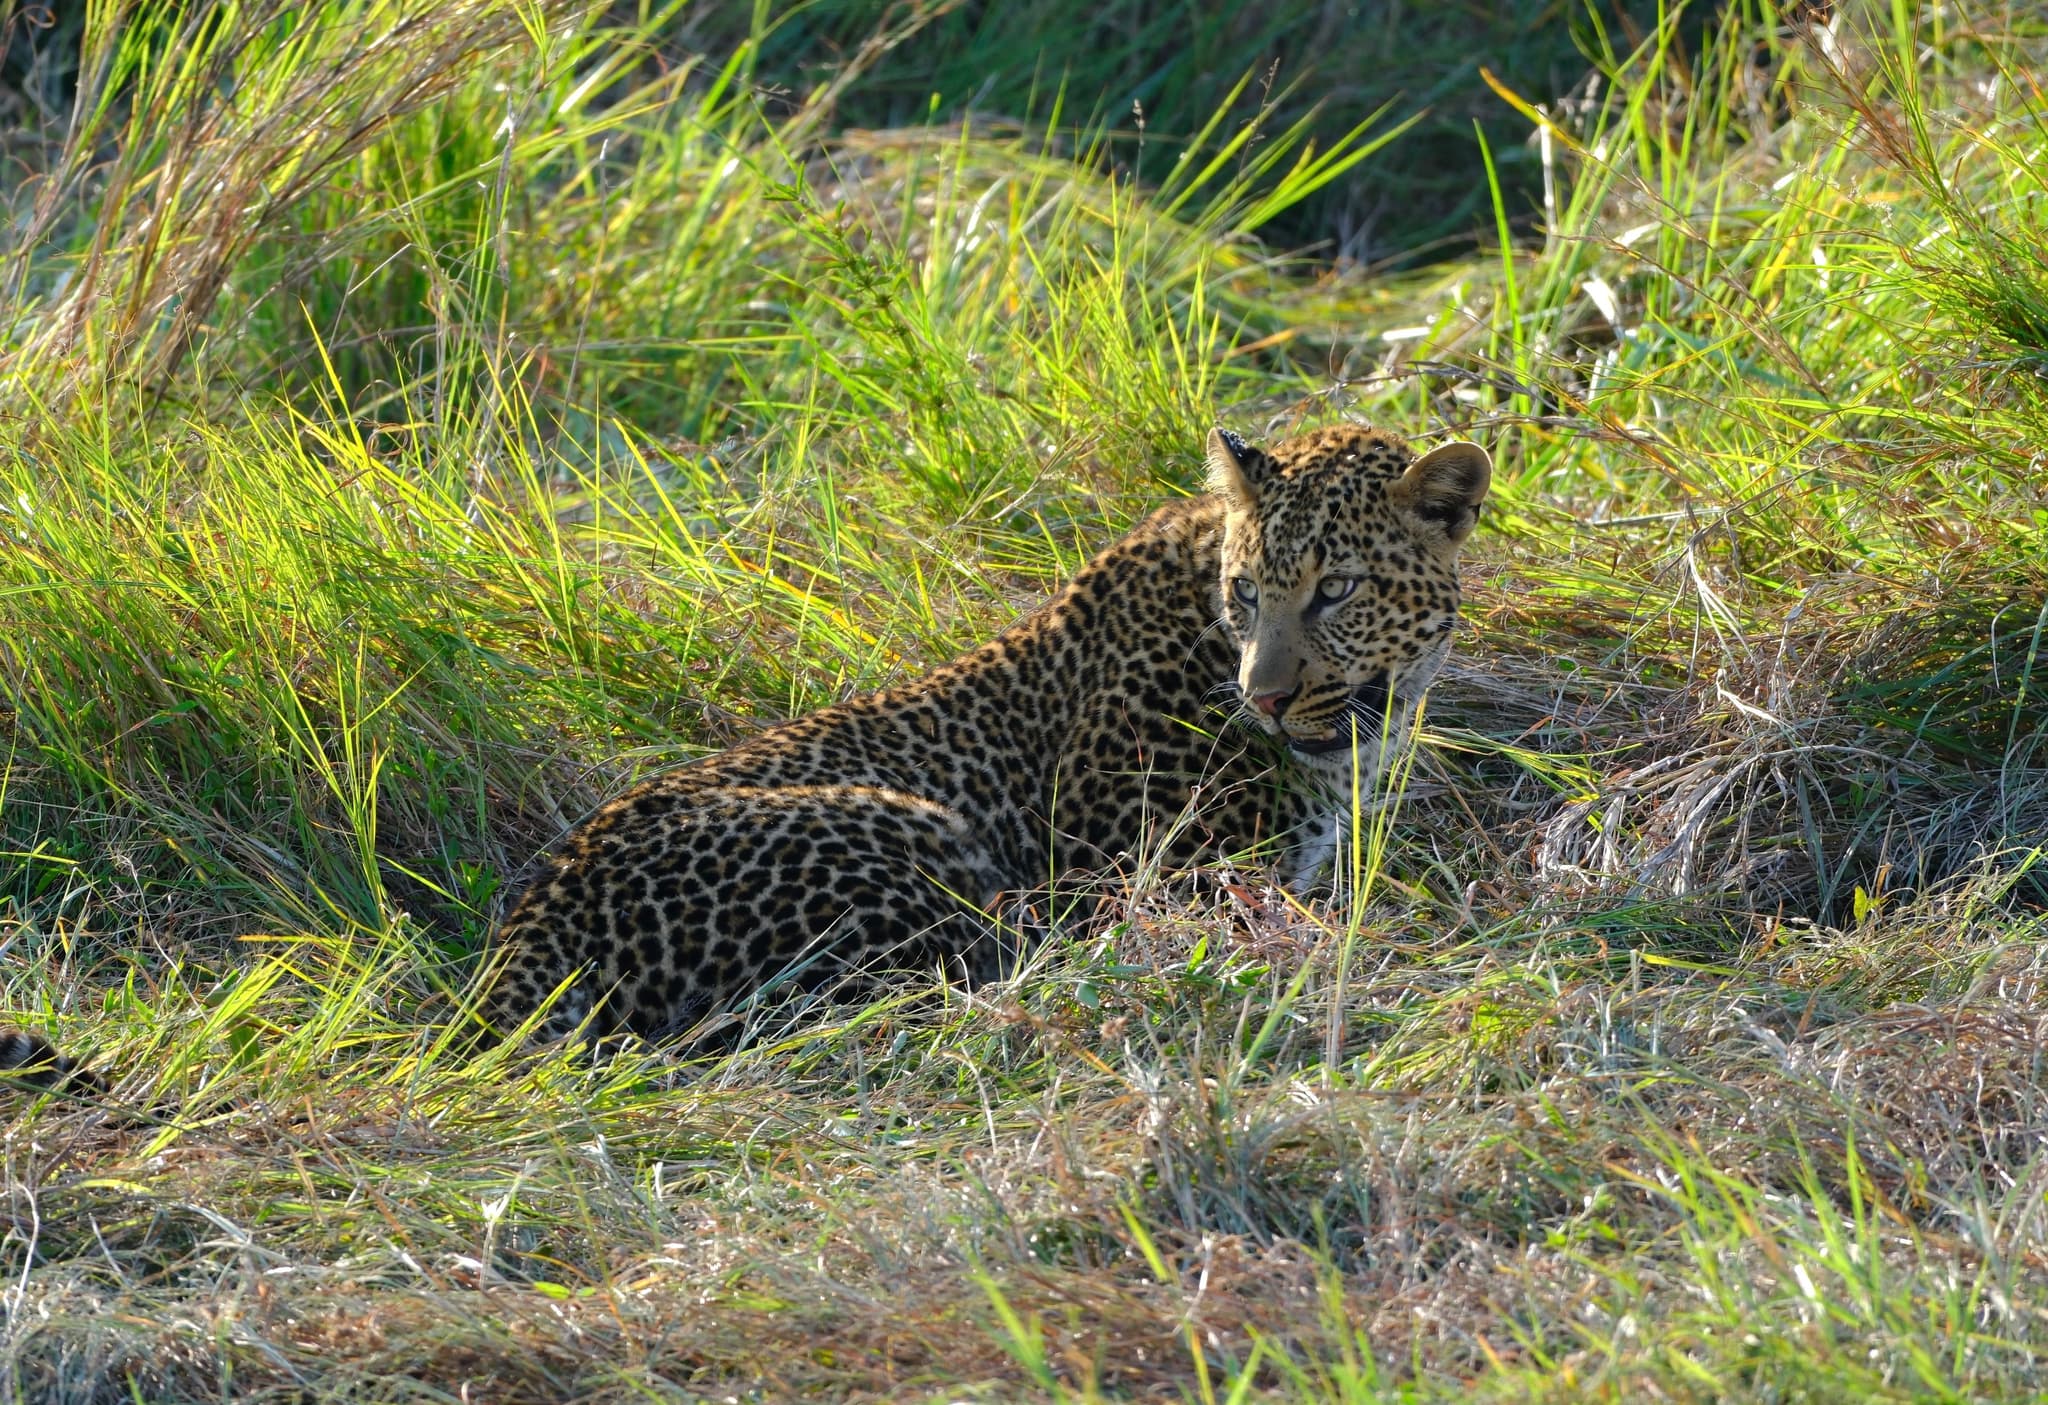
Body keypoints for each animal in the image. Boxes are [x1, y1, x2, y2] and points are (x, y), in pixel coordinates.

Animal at [0, 422, 1490, 1082]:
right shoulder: (1142, 867)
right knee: (894, 996)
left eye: (1334, 591)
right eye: (1246, 593)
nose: (1264, 695)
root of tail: (515, 947)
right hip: (907, 841)